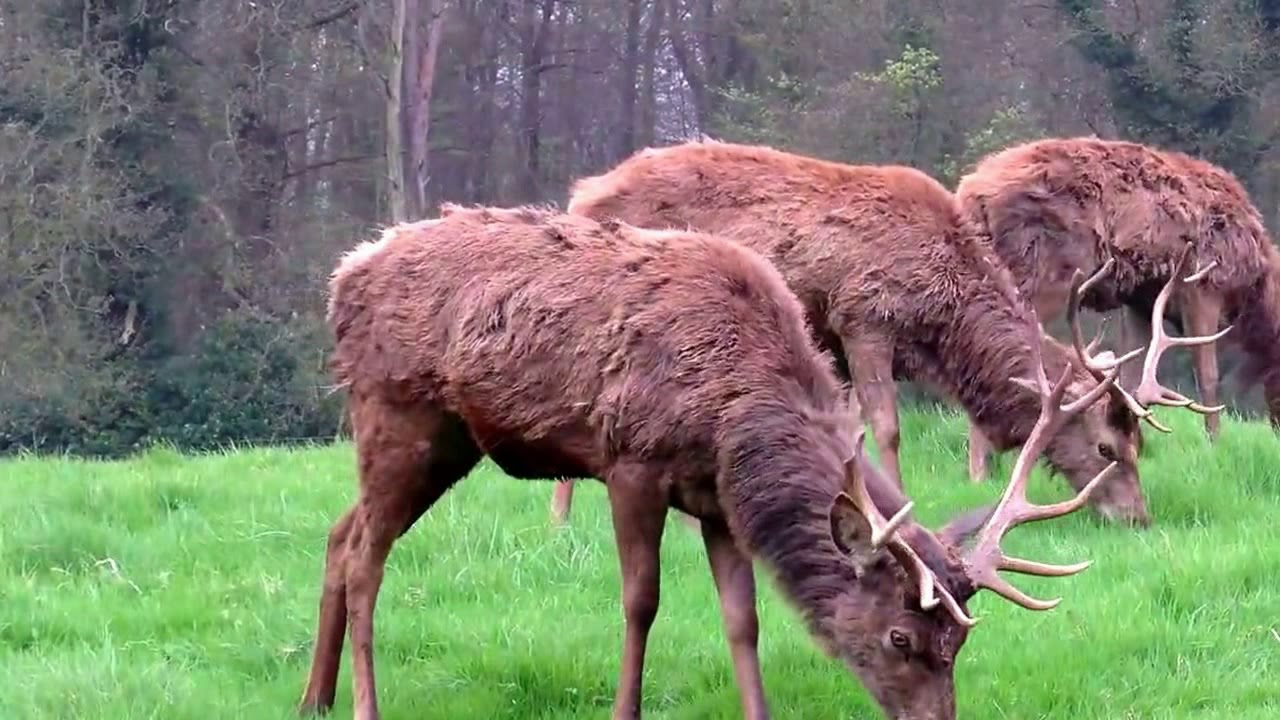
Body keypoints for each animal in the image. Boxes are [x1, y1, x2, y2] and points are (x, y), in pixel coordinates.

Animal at [300, 202, 1151, 720]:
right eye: (901, 640)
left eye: (961, 641)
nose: (939, 719)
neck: (733, 415)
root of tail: (343, 276)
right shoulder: (631, 462)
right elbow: (640, 602)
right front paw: (626, 707)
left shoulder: (718, 498)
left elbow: (743, 620)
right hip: (399, 410)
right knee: (367, 555)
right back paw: (365, 704)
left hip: (445, 441)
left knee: (340, 534)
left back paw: (315, 697)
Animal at [550, 139, 1211, 528]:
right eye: (1107, 448)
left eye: (1141, 444)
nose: (1139, 518)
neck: (941, 324)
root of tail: (580, 196)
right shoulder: (862, 316)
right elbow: (887, 428)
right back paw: (559, 522)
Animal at [956, 136, 1279, 479]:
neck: (1255, 288)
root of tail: (970, 194)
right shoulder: (1203, 283)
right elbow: (1208, 375)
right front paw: (1214, 444)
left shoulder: (1140, 301)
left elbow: (1133, 380)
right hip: (1039, 275)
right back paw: (980, 473)